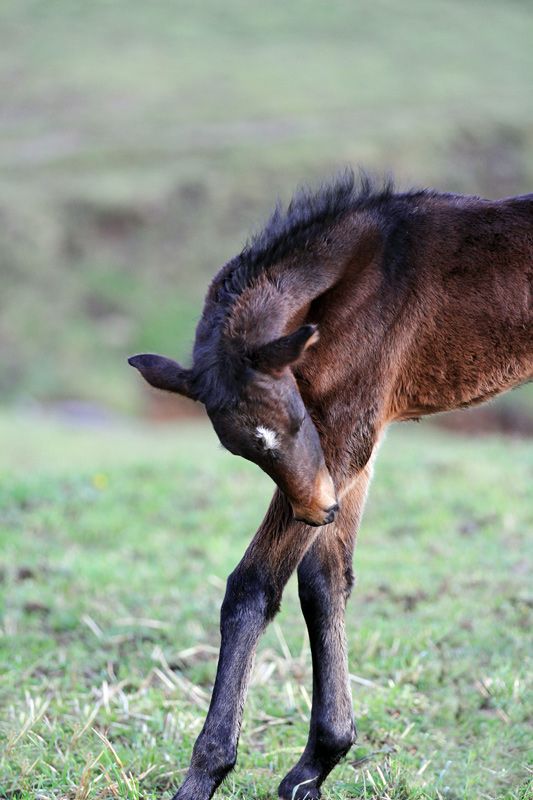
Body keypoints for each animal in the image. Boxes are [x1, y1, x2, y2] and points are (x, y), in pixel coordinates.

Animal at [129, 172, 532, 800]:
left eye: (296, 423)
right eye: (237, 448)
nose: (320, 510)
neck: (361, 278)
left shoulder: (344, 436)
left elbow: (255, 585)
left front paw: (204, 773)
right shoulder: (350, 455)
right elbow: (323, 582)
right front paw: (319, 761)